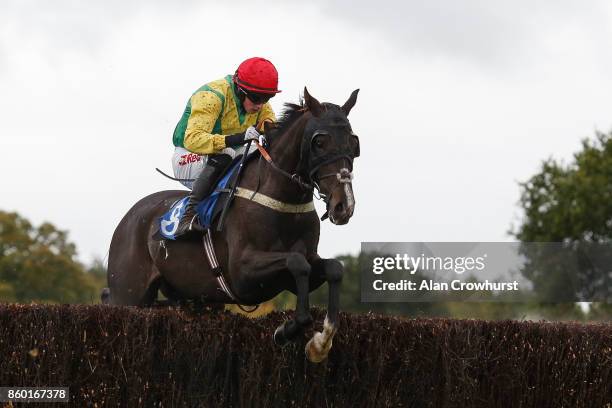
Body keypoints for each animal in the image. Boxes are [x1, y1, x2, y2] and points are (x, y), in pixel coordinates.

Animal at [104, 87, 358, 362]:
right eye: (319, 142)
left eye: (354, 142)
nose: (344, 205)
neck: (281, 201)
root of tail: (127, 219)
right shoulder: (242, 273)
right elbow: (297, 263)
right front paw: (287, 332)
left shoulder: (296, 271)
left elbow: (333, 268)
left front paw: (320, 342)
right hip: (127, 295)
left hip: (194, 299)